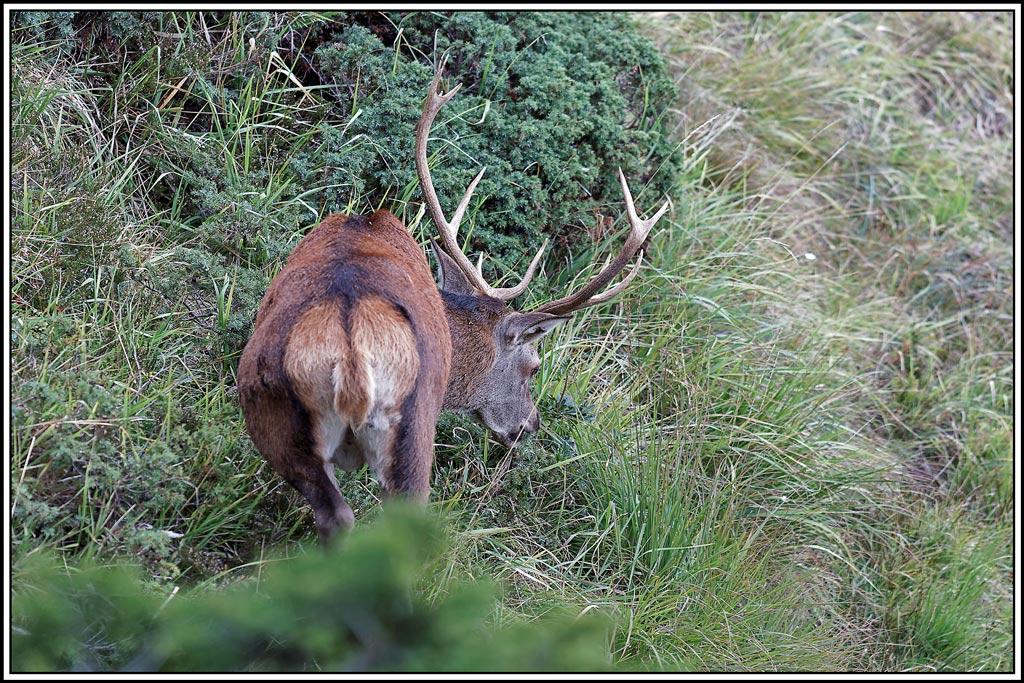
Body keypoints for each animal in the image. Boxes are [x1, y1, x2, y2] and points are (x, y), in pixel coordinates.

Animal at [237, 63, 670, 544]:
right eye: (534, 366)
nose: (531, 425)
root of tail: (349, 355)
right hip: (412, 427)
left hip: (268, 410)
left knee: (333, 514)